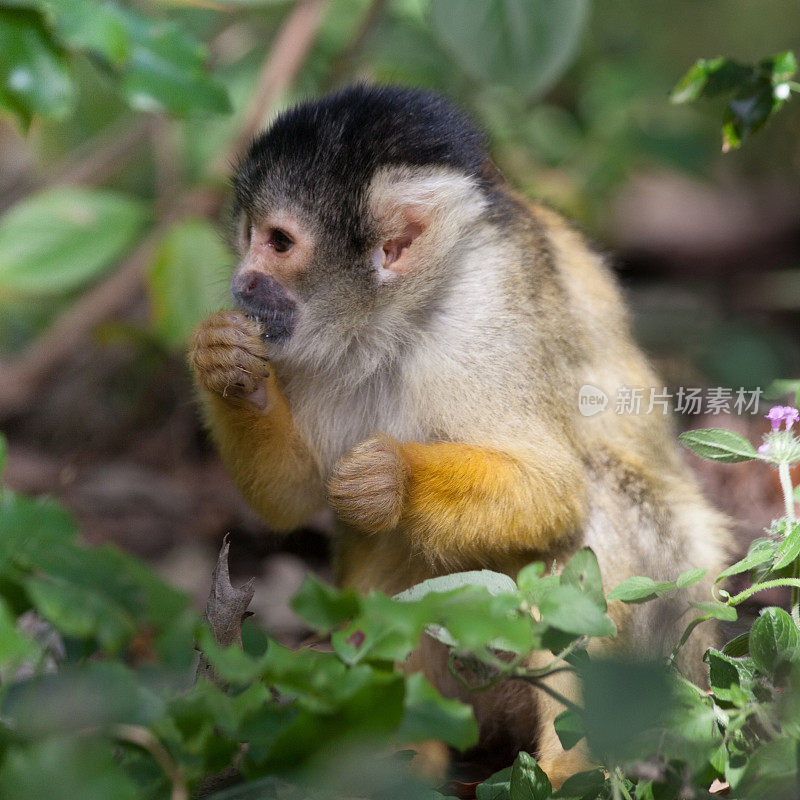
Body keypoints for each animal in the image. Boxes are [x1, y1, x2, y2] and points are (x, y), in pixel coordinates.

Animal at [189, 84, 732, 784]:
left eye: (279, 242)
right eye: (248, 235)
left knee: (593, 519)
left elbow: (555, 490)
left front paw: (391, 479)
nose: (243, 281)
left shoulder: (484, 316)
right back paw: (408, 745)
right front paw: (225, 364)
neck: (399, 316)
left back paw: (572, 766)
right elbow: (294, 494)